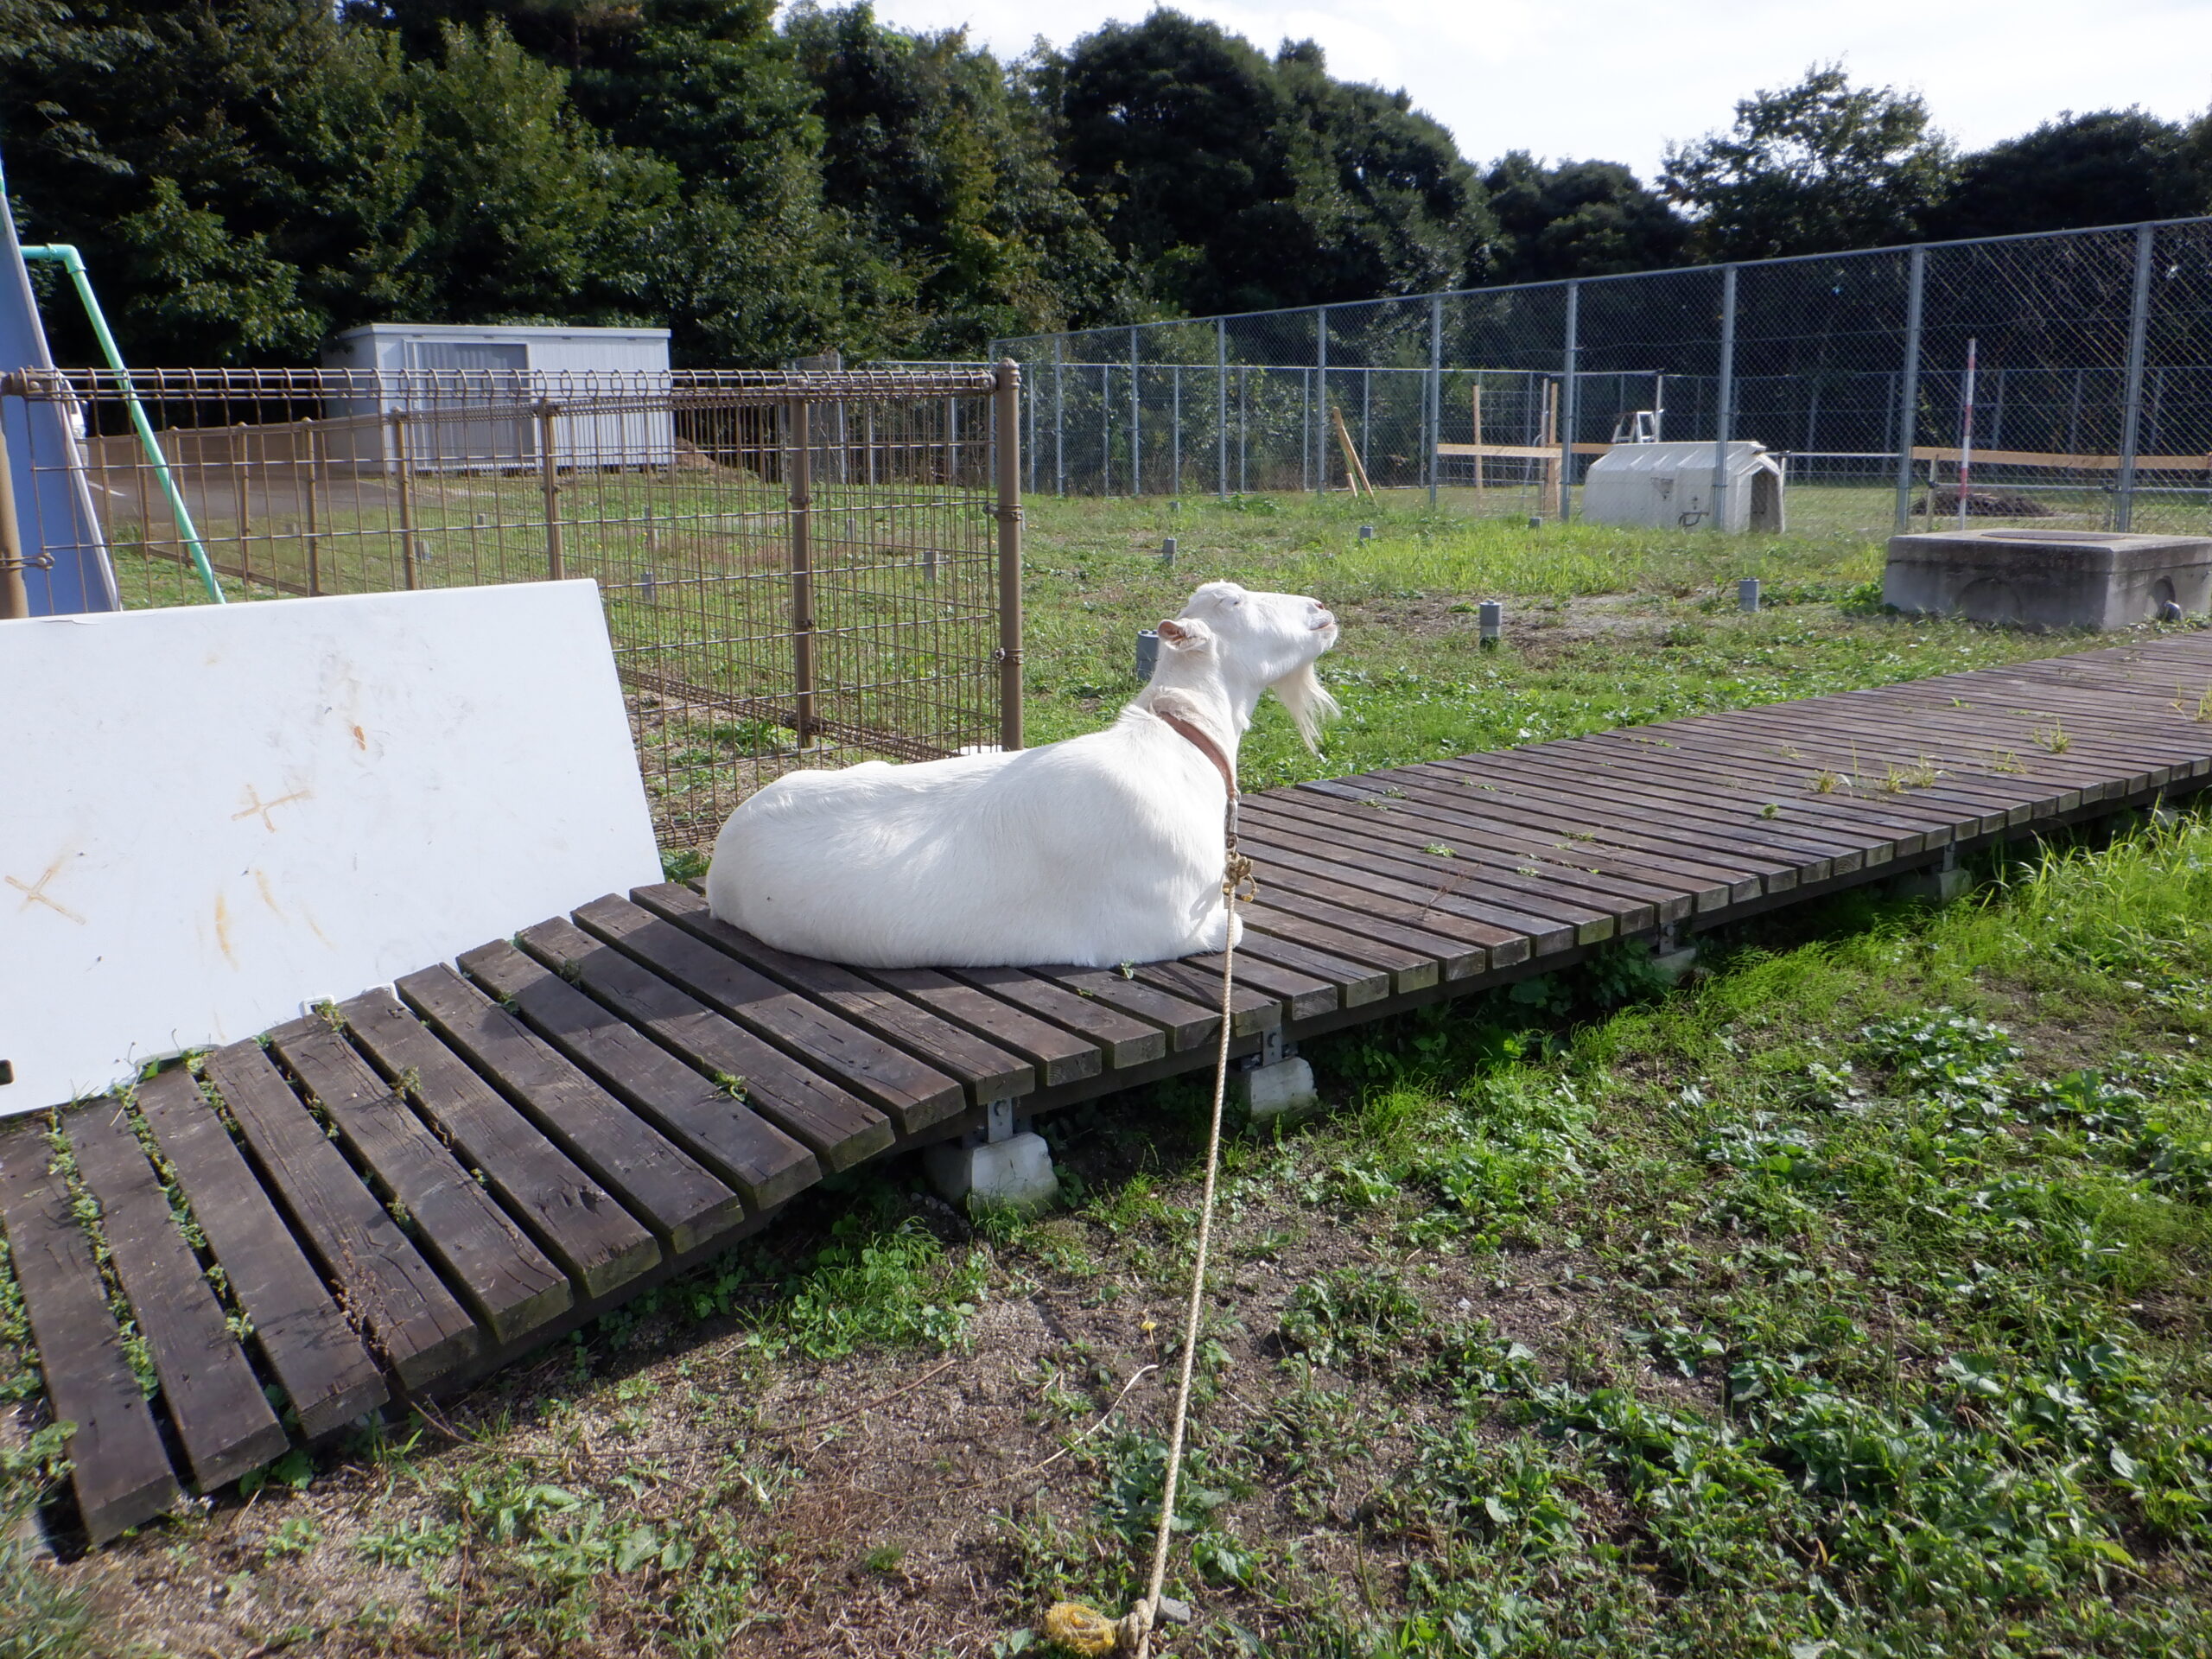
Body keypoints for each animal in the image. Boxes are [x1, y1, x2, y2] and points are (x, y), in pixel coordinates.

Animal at [704, 580, 1340, 968]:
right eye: (1234, 603)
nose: (1319, 609)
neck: (1179, 747)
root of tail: (721, 854)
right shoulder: (1178, 922)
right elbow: (1236, 927)